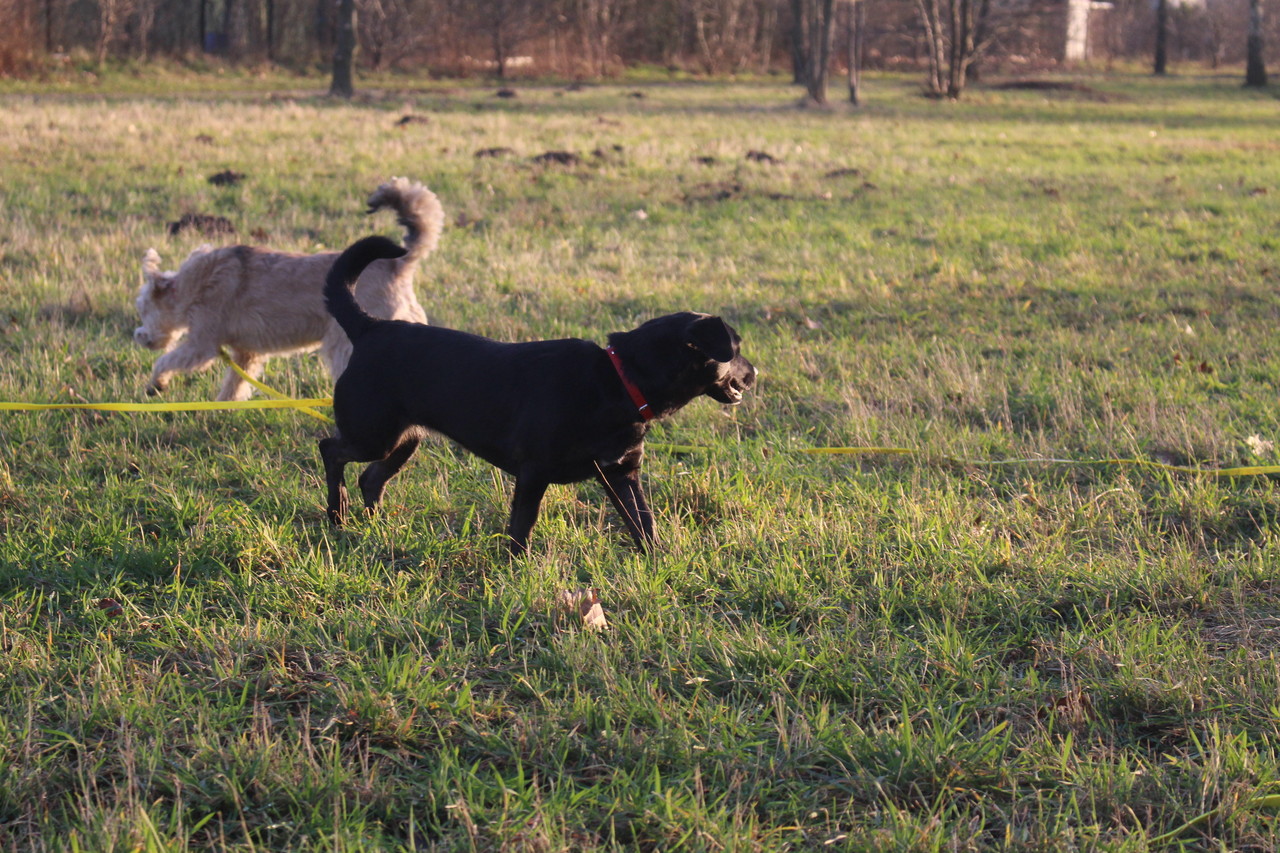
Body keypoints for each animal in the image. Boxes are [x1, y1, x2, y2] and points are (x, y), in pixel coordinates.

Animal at [133, 177, 444, 401]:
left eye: (142, 308)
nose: (140, 337)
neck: (193, 284)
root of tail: (398, 264)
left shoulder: (201, 344)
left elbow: (166, 360)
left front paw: (155, 384)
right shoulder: (246, 354)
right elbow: (235, 384)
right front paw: (222, 407)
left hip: (345, 345)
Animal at [319, 235, 757, 555]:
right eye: (735, 349)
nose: (754, 374)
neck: (619, 381)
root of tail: (370, 327)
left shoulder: (621, 473)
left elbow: (643, 523)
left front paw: (659, 561)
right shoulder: (534, 471)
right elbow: (522, 526)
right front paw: (516, 566)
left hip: (404, 439)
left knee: (371, 478)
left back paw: (375, 524)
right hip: (372, 433)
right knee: (330, 450)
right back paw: (337, 515)